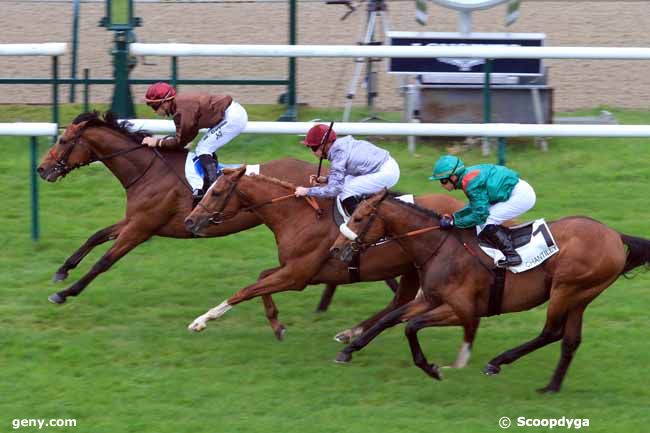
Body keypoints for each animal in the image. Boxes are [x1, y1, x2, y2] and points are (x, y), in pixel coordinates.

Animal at [35, 110, 388, 338]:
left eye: (64, 141)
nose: (42, 169)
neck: (149, 170)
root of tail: (320, 173)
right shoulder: (134, 220)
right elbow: (95, 237)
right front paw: (62, 271)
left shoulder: (141, 227)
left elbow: (105, 261)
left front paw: (65, 293)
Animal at [180, 165, 478, 364]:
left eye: (216, 192)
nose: (189, 221)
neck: (297, 215)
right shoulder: (294, 270)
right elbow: (261, 278)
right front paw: (277, 325)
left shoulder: (297, 276)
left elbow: (246, 290)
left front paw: (202, 320)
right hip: (411, 268)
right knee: (399, 303)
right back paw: (349, 334)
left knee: (402, 303)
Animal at [330, 189, 648, 392]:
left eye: (359, 218)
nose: (335, 249)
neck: (440, 247)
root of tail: (614, 234)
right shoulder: (431, 299)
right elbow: (391, 318)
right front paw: (348, 350)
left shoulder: (463, 311)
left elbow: (412, 326)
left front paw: (431, 368)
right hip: (581, 296)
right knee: (570, 340)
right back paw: (551, 387)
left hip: (566, 289)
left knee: (551, 332)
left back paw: (497, 363)